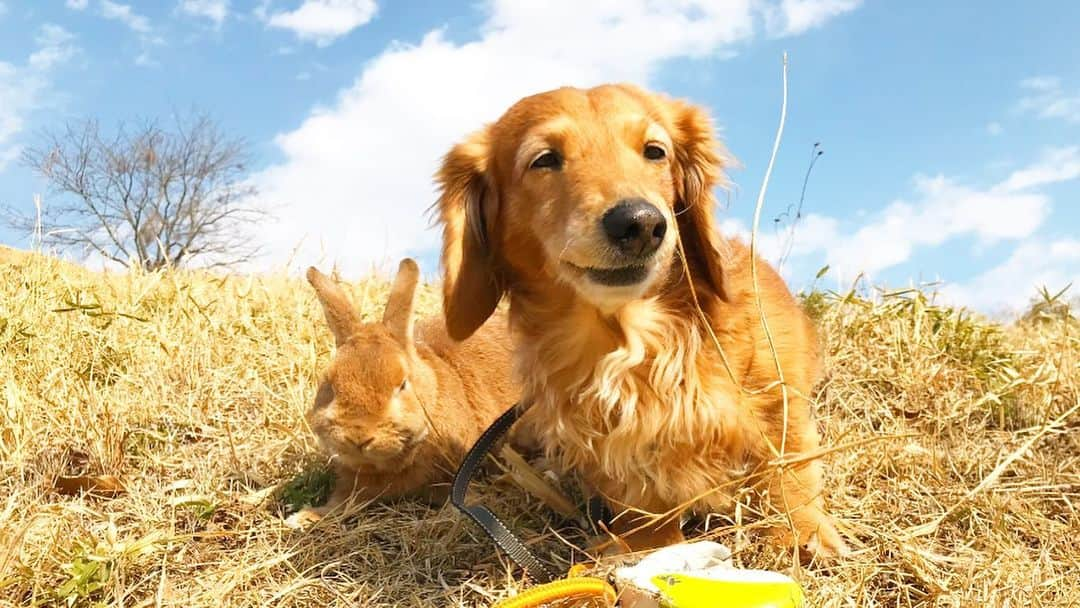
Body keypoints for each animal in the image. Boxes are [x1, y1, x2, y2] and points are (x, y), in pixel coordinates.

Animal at [434, 83, 846, 557]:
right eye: (544, 159)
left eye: (655, 151)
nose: (640, 224)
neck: (631, 342)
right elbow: (644, 507)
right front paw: (649, 547)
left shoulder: (778, 399)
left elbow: (787, 465)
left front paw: (802, 535)